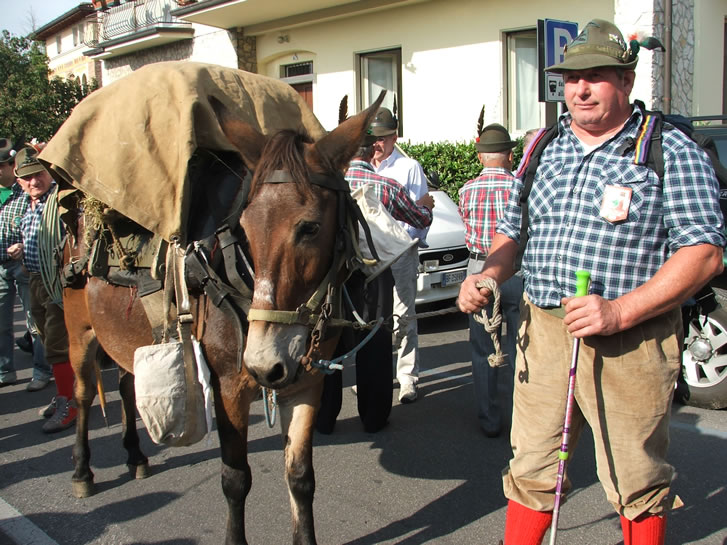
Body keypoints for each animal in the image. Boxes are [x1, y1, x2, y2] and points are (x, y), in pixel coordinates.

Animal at [62, 91, 386, 540]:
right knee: (81, 394)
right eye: (244, 230)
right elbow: (235, 479)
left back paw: (135, 456)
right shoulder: (229, 387)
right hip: (79, 332)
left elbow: (300, 477)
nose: (264, 364)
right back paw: (82, 470)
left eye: (310, 228)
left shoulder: (307, 383)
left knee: (127, 385)